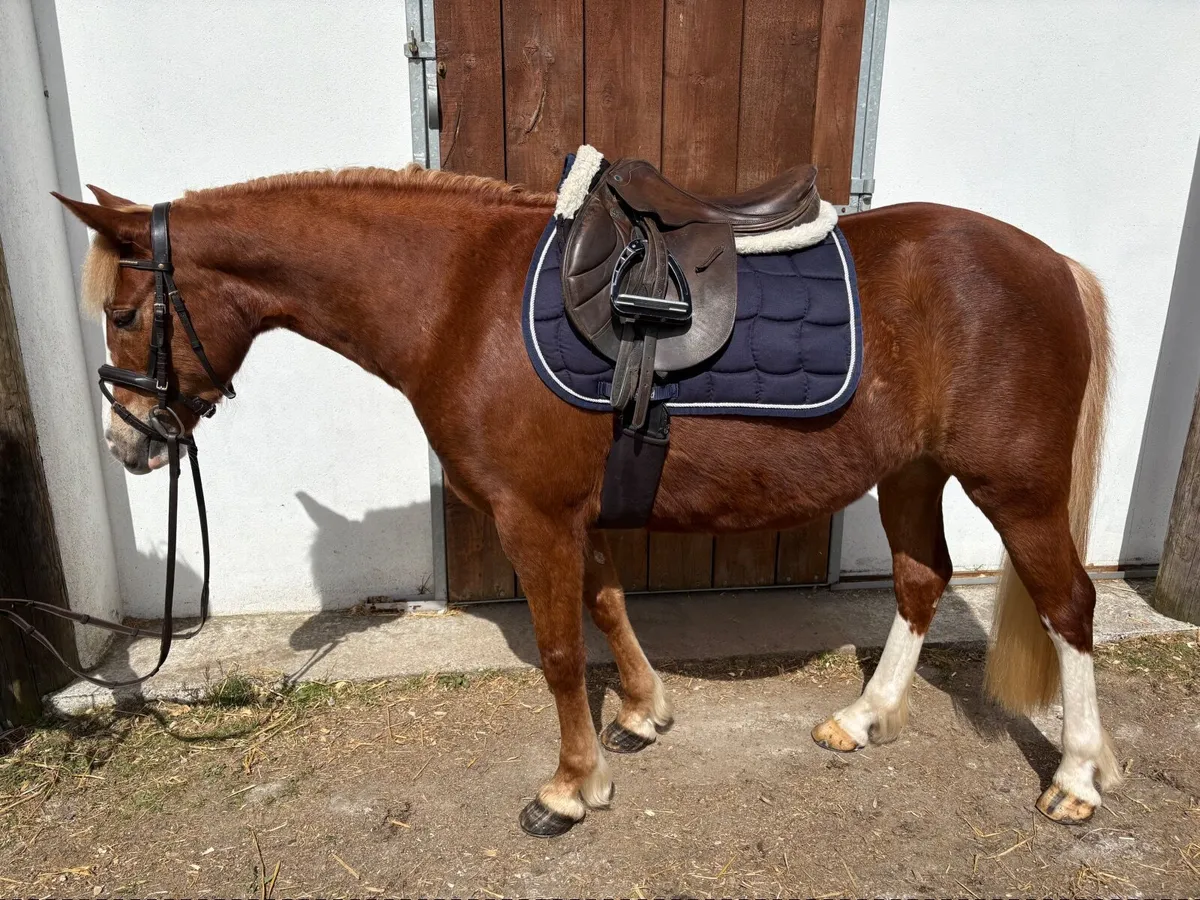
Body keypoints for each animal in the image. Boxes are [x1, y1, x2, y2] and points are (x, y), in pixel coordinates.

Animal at [55, 163, 1118, 836]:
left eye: (125, 311)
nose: (126, 444)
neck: (459, 298)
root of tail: (1052, 264)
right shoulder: (576, 512)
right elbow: (607, 608)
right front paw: (643, 716)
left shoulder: (534, 517)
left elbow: (563, 650)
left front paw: (570, 788)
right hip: (912, 473)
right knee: (919, 580)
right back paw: (863, 718)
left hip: (1015, 488)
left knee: (1069, 605)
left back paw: (1076, 777)